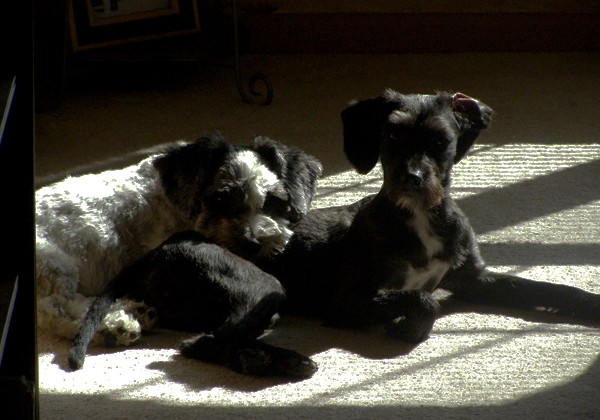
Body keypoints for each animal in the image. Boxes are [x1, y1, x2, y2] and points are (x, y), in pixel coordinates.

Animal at [35, 134, 322, 348]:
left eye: (273, 201)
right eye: (221, 199)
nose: (252, 242)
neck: (174, 202)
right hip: (55, 265)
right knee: (56, 310)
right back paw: (117, 324)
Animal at [262, 90, 600, 342]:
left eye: (441, 140)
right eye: (393, 135)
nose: (412, 178)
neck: (421, 216)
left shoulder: (473, 278)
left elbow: (549, 289)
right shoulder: (345, 300)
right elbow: (425, 301)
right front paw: (407, 329)